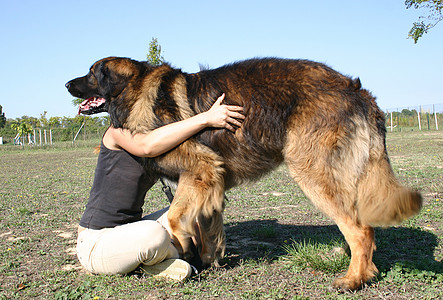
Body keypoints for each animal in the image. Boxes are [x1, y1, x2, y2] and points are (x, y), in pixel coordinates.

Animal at [67, 56, 424, 290]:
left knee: (360, 229)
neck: (139, 91)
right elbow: (205, 226)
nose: (67, 83)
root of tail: (356, 90)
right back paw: (361, 269)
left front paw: (186, 247)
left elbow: (175, 219)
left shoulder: (200, 169)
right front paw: (207, 260)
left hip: (311, 172)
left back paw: (353, 279)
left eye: (91, 72)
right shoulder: (208, 181)